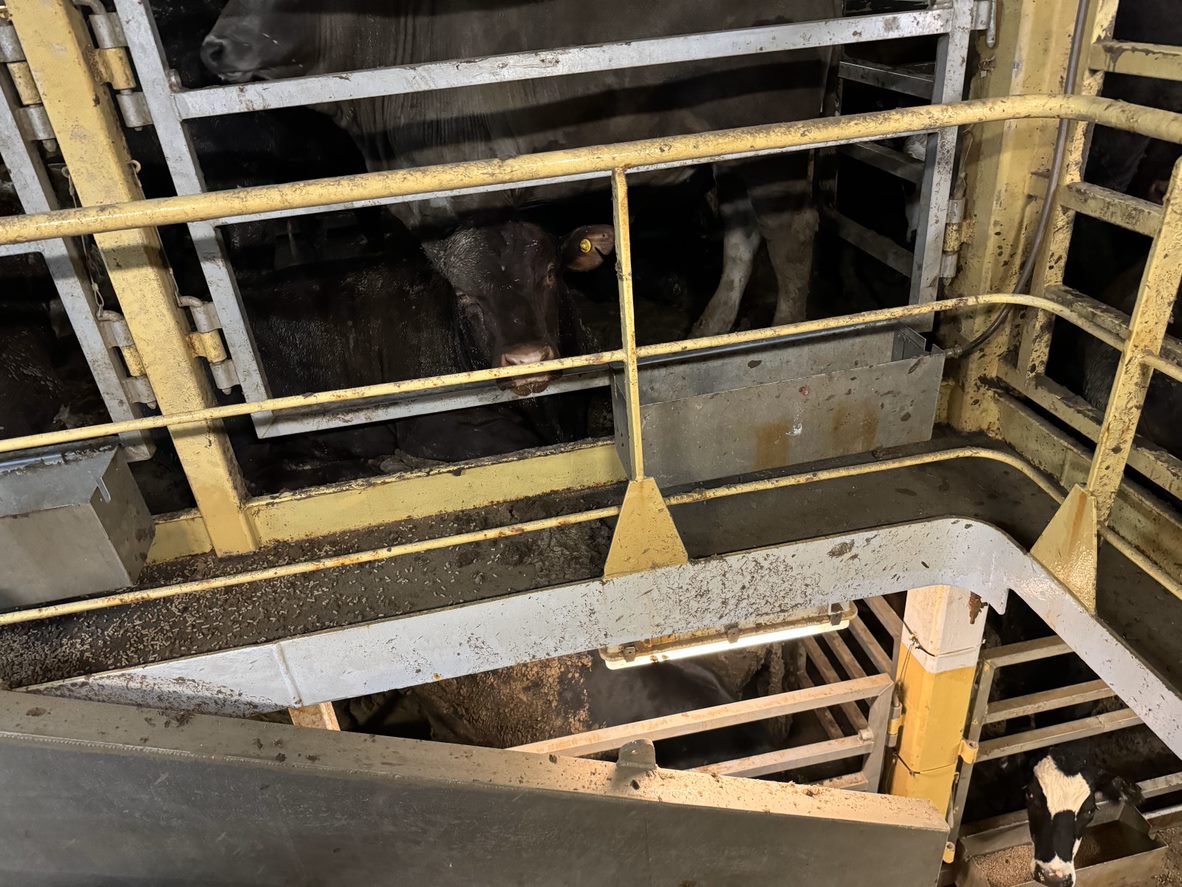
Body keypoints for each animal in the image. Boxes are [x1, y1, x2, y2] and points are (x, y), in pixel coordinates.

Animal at [200, 0, 841, 345]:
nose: (210, 48)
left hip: (775, 144)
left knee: (792, 230)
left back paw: (791, 329)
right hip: (730, 152)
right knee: (742, 233)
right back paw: (711, 327)